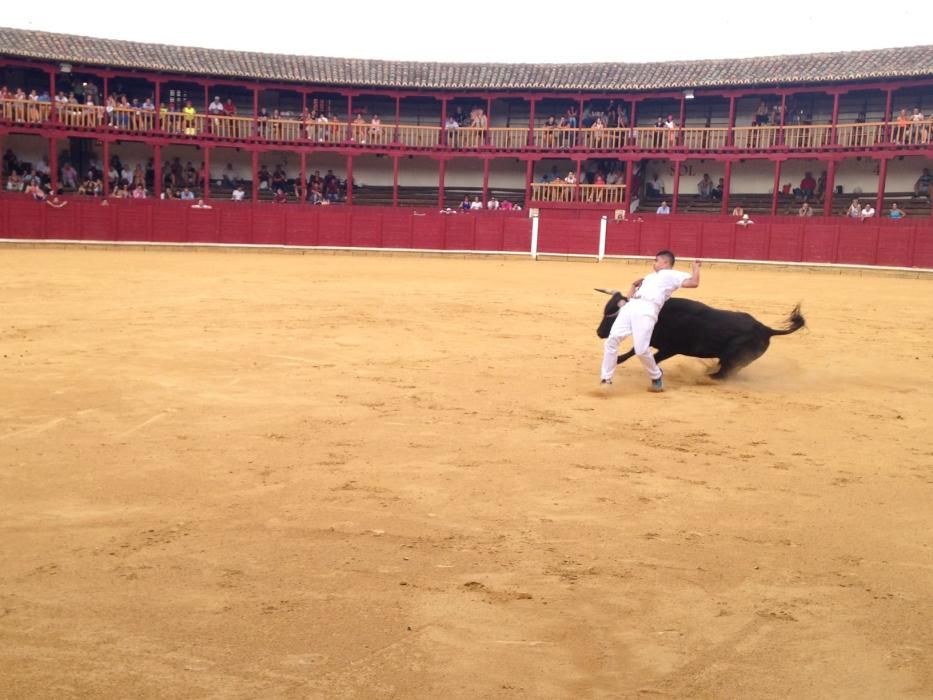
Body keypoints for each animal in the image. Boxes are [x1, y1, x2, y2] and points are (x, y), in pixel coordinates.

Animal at [596, 292, 808, 380]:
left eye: (613, 316)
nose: (599, 332)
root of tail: (766, 329)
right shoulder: (654, 340)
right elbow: (635, 351)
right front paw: (619, 359)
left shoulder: (671, 348)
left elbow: (652, 357)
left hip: (736, 355)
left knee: (727, 372)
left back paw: (709, 377)